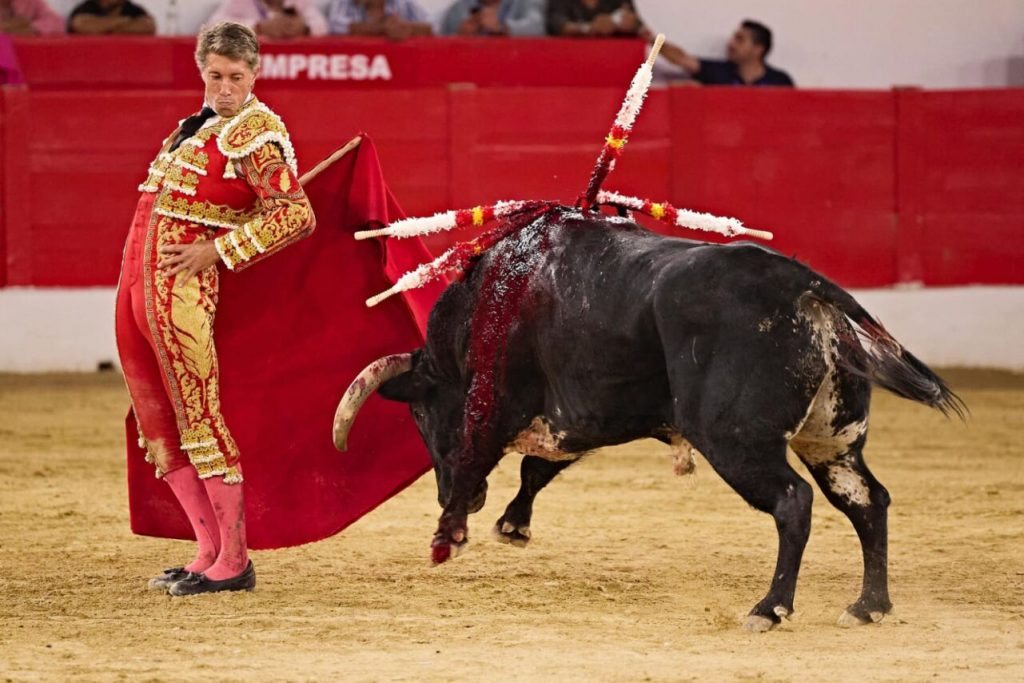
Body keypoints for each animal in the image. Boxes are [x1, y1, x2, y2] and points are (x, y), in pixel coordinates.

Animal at [337, 210, 966, 634]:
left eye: (420, 413)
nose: (457, 498)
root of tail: (800, 283)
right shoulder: (588, 411)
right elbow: (540, 467)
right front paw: (511, 525)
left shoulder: (510, 404)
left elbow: (493, 455)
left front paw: (454, 533)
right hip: (833, 439)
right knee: (867, 500)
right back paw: (868, 606)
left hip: (736, 441)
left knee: (794, 501)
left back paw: (769, 609)